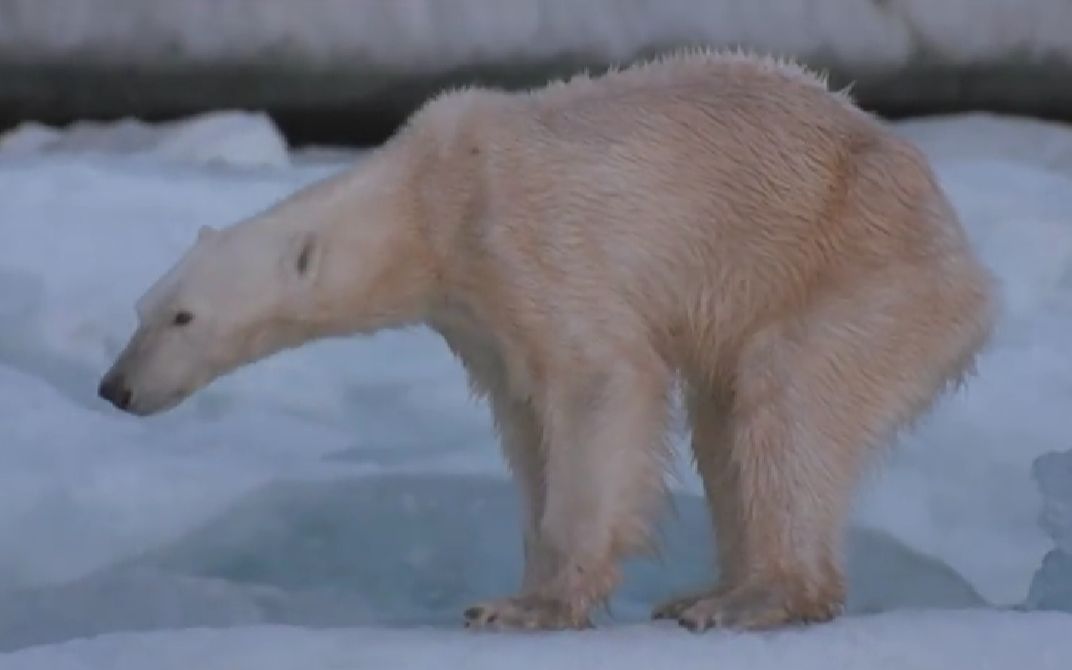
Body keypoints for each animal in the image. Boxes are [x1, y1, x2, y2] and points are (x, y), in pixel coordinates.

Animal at [98, 49, 996, 633]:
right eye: (141, 307)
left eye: (182, 317)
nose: (115, 388)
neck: (431, 195)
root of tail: (968, 267)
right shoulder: (478, 314)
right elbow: (527, 421)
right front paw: (519, 584)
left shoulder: (527, 240)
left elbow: (600, 383)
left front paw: (533, 605)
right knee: (725, 419)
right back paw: (706, 588)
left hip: (855, 267)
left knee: (787, 396)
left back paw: (753, 597)